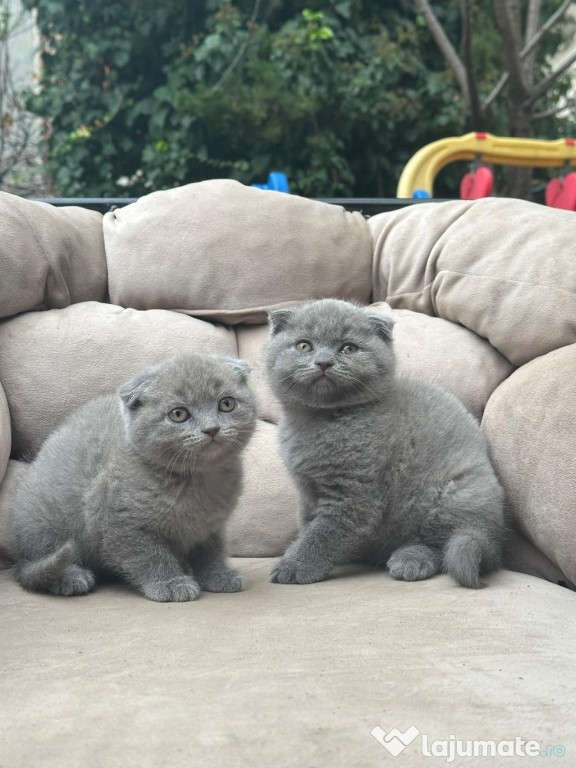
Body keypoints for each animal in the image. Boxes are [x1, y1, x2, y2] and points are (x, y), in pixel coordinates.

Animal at [11, 352, 256, 600]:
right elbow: (149, 555)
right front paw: (170, 583)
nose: (211, 429)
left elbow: (211, 551)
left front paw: (219, 575)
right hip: (46, 524)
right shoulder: (118, 521)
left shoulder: (211, 527)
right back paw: (70, 577)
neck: (199, 480)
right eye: (178, 414)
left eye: (226, 404)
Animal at [264, 300, 506, 588]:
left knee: (442, 543)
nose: (323, 362)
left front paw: (295, 566)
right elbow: (308, 525)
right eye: (304, 346)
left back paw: (411, 560)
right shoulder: (307, 491)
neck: (324, 419)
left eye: (348, 348)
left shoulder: (355, 492)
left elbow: (323, 532)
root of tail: (491, 533)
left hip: (453, 496)